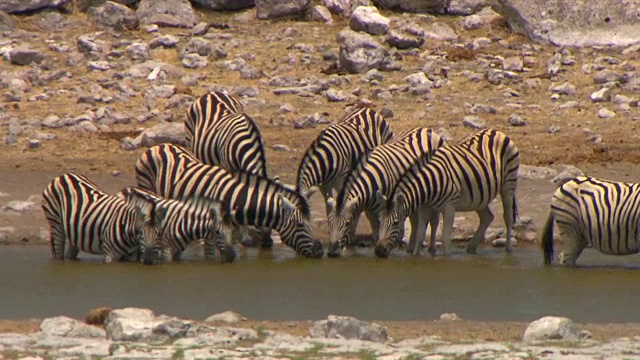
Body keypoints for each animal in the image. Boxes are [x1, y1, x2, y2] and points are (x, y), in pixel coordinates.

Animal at [324, 128, 444, 258]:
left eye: (346, 224)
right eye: (329, 223)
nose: (331, 252)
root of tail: (427, 129)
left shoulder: (382, 206)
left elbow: (379, 231)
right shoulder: (367, 208)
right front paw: (351, 252)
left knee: (434, 221)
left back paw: (431, 250)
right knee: (415, 220)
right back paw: (410, 250)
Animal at [376, 129, 520, 258]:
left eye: (395, 223)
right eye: (380, 221)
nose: (379, 251)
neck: (430, 183)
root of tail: (496, 131)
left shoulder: (449, 207)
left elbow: (445, 239)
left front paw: (446, 259)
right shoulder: (424, 208)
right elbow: (420, 236)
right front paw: (416, 257)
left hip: (509, 184)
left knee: (508, 217)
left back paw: (508, 250)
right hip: (479, 195)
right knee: (487, 217)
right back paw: (471, 248)